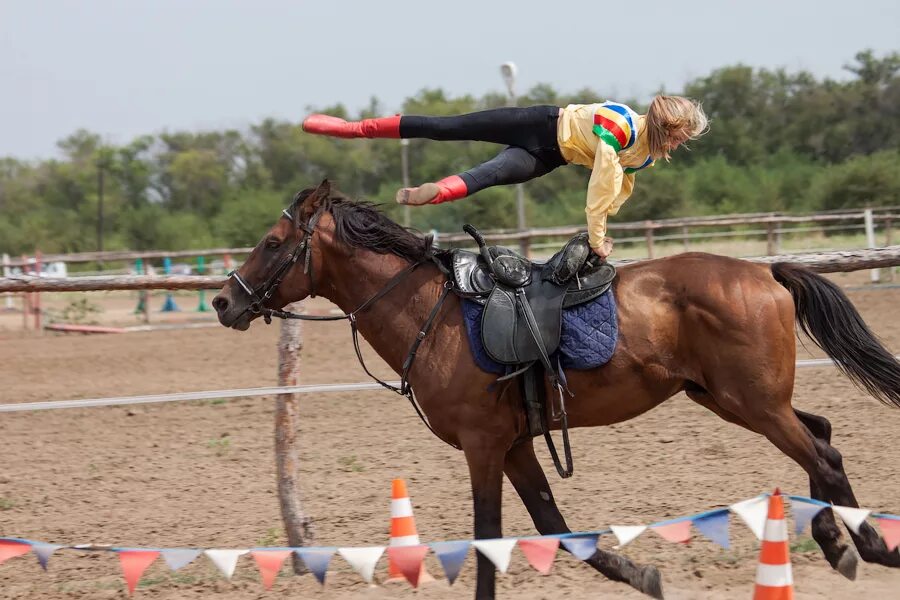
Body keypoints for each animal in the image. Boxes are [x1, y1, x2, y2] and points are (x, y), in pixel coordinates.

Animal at [213, 183, 900, 600]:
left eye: (272, 244)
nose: (224, 301)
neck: (432, 315)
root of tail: (766, 273)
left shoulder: (483, 446)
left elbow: (489, 538)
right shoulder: (515, 446)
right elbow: (555, 525)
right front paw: (640, 572)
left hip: (754, 404)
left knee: (822, 455)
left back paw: (865, 544)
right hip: (729, 399)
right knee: (821, 436)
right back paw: (836, 540)